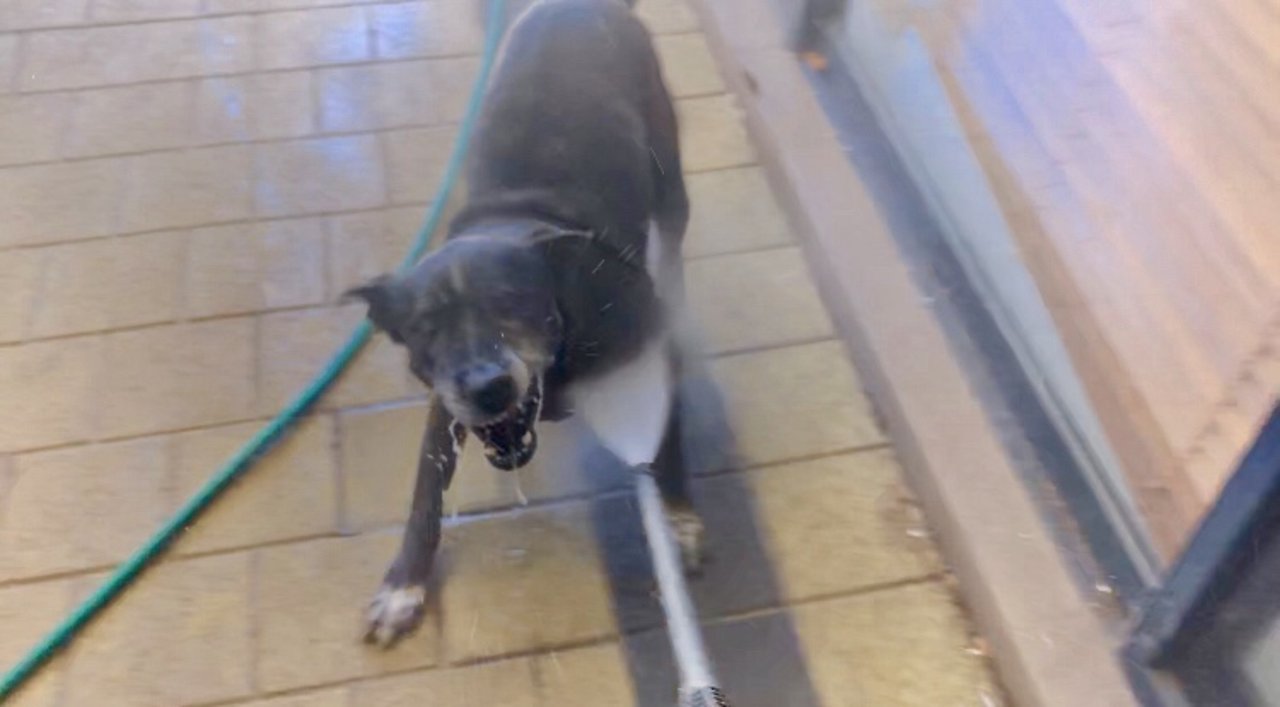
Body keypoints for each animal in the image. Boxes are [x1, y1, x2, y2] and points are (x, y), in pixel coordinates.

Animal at [348, 0, 701, 645]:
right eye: (426, 328)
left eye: (514, 302)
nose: (487, 387)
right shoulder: (445, 405)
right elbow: (424, 498)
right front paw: (403, 586)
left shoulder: (645, 354)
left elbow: (665, 439)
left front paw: (678, 521)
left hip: (669, 178)